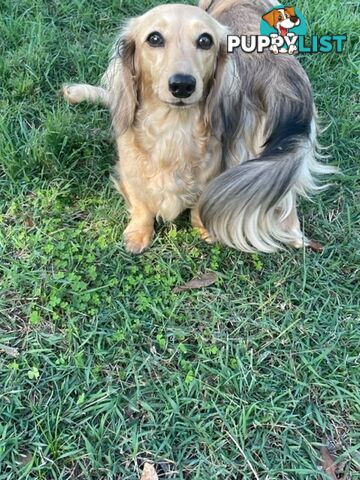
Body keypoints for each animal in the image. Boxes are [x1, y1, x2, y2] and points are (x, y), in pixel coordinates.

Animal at [61, 0, 334, 253]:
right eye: (154, 38)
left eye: (205, 40)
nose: (182, 85)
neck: (173, 129)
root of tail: (281, 85)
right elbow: (142, 204)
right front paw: (138, 233)